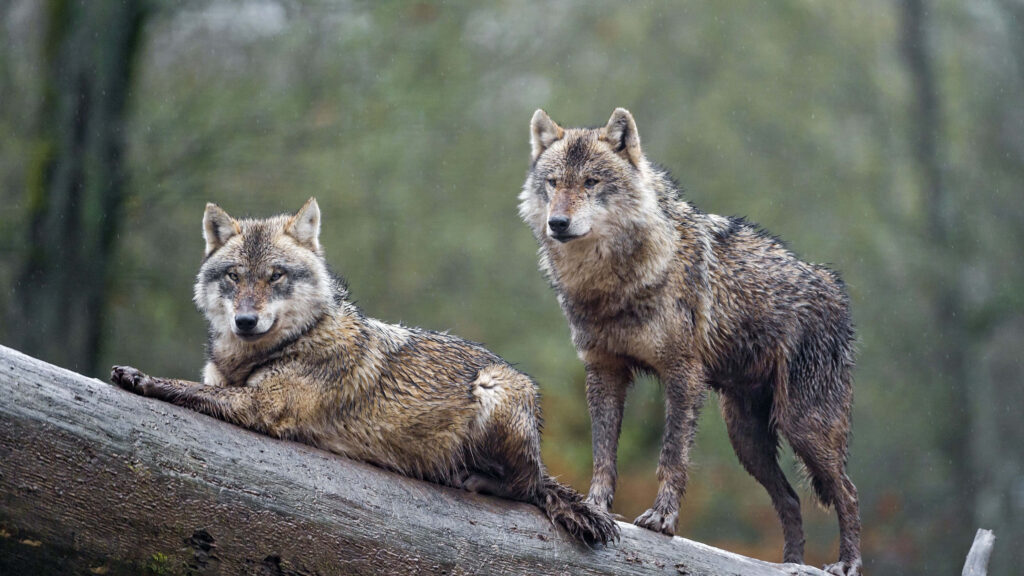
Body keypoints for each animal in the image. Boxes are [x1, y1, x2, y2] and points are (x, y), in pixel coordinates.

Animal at [109, 198, 618, 545]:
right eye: (234, 276)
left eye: (276, 275)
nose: (245, 321)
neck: (289, 342)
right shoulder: (229, 383)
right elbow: (198, 385)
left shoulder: (263, 406)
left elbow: (182, 387)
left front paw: (140, 377)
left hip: (495, 390)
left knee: (527, 486)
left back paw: (475, 479)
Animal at [518, 108, 861, 575]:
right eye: (554, 182)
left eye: (590, 182)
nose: (557, 223)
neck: (611, 283)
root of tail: (834, 288)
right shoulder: (603, 371)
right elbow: (603, 455)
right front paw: (595, 508)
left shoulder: (682, 374)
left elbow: (672, 457)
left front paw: (662, 519)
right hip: (746, 439)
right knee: (791, 499)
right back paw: (789, 564)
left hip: (803, 426)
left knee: (848, 492)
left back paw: (847, 564)